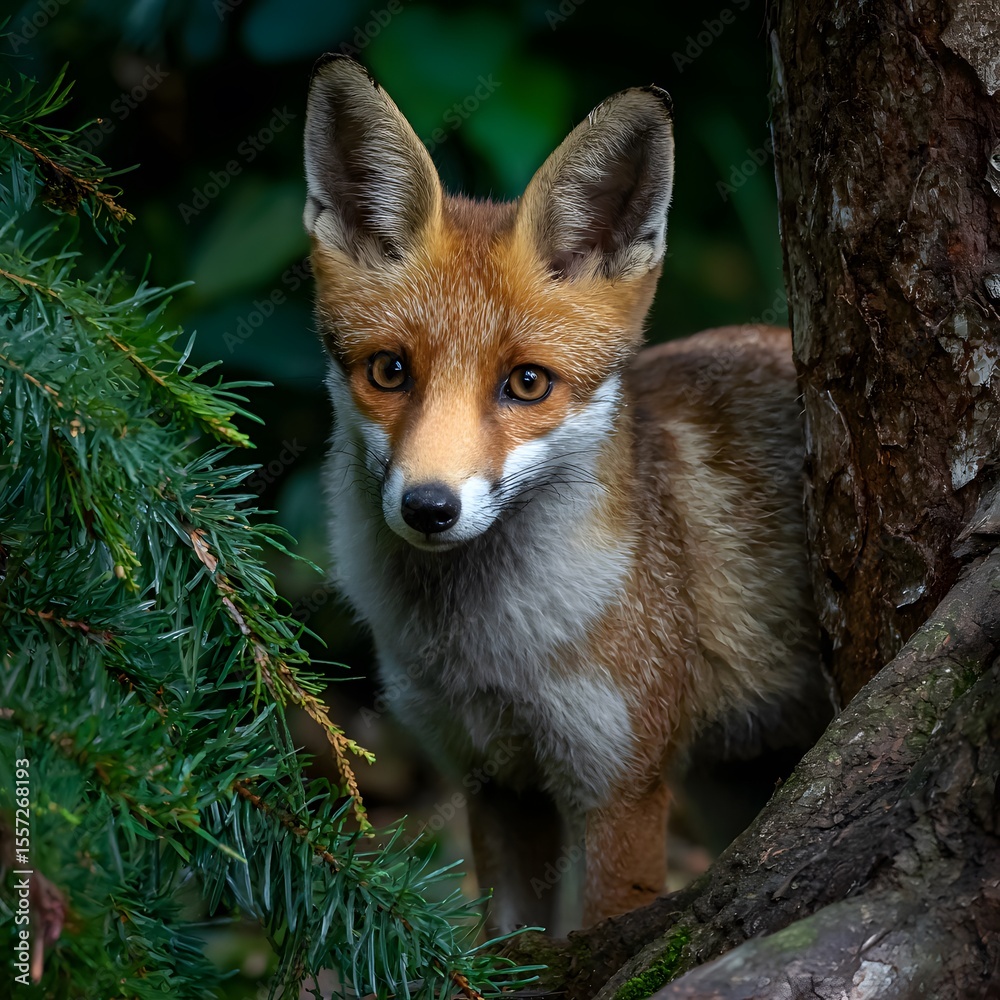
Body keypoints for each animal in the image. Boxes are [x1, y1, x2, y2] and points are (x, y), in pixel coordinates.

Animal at [302, 55, 831, 931]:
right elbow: (508, 943)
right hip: (733, 785)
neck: (486, 651)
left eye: (527, 383)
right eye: (390, 370)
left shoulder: (619, 785)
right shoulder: (494, 780)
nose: (429, 507)